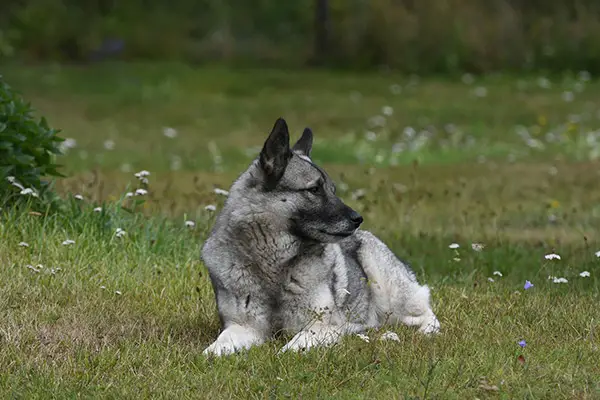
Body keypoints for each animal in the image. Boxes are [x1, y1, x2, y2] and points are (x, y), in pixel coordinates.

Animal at [202, 118, 440, 356]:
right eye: (315, 189)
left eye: (332, 190)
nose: (358, 219)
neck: (274, 264)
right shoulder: (243, 327)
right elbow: (215, 348)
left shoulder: (320, 326)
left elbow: (291, 347)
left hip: (388, 287)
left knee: (425, 314)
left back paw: (424, 331)